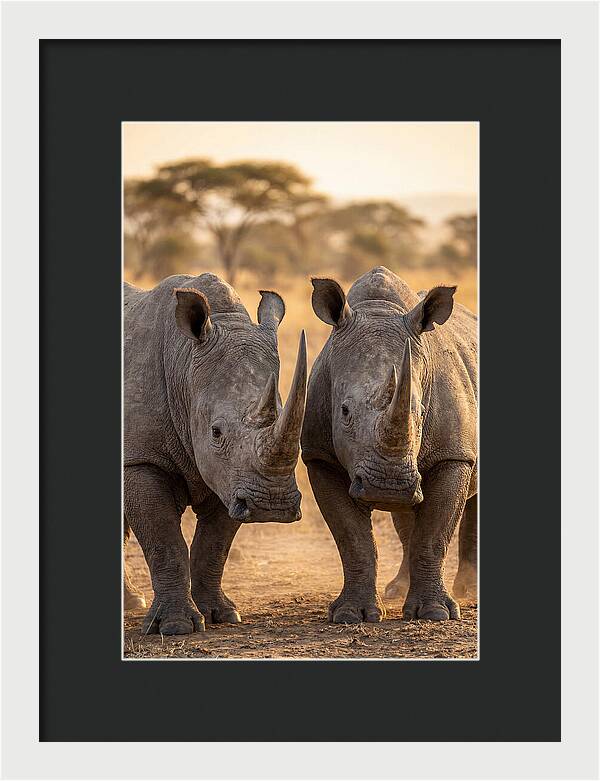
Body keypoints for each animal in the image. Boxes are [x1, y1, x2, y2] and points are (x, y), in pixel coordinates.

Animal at [123, 273, 307, 635]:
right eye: (216, 432)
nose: (272, 506)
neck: (184, 364)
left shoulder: (232, 477)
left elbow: (214, 544)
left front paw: (221, 615)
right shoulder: (141, 458)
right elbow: (164, 540)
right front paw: (176, 627)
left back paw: (131, 602)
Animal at [301, 266, 477, 622]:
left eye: (420, 411)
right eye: (344, 411)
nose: (388, 486)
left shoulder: (454, 455)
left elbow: (434, 536)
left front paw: (436, 614)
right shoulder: (320, 457)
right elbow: (353, 540)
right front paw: (351, 615)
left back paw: (469, 590)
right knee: (407, 516)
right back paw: (397, 589)